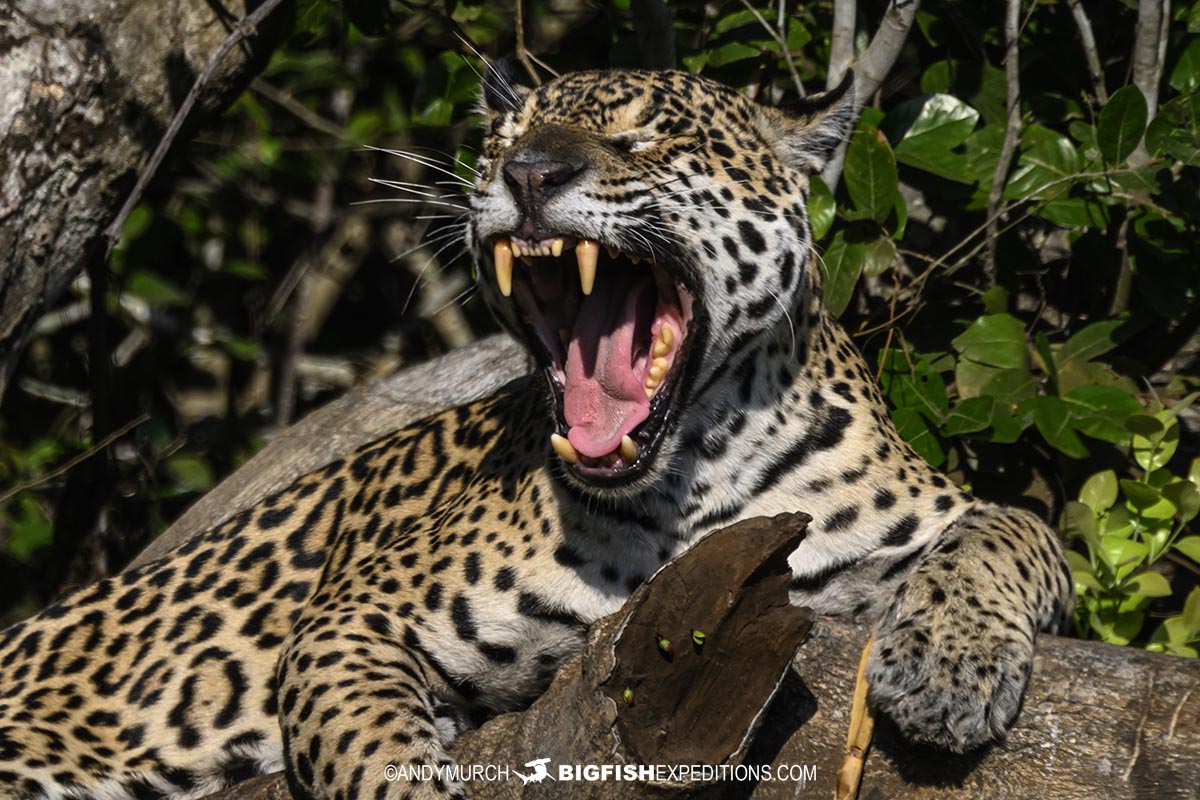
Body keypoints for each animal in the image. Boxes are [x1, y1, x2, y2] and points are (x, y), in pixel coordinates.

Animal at [0, 64, 1074, 800]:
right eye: (504, 137)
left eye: (648, 136)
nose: (528, 174)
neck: (696, 480)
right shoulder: (354, 616)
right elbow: (363, 741)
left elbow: (1009, 529)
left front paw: (947, 668)